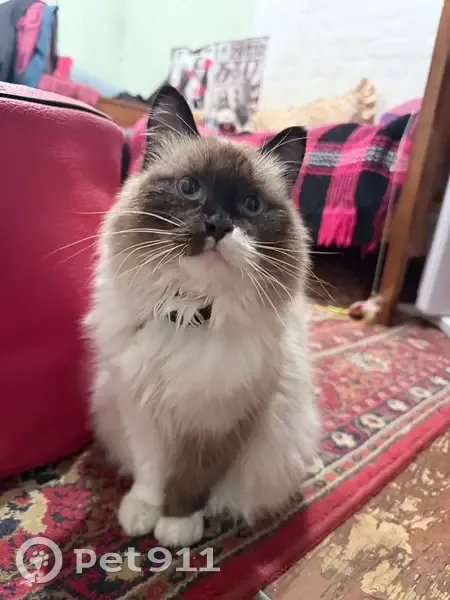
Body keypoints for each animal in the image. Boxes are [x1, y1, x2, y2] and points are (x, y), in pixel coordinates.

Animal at [84, 85, 320, 548]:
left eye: (251, 205)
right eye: (190, 188)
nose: (217, 224)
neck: (189, 311)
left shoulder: (219, 422)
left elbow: (190, 481)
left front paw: (176, 529)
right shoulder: (141, 406)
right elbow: (151, 473)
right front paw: (141, 516)